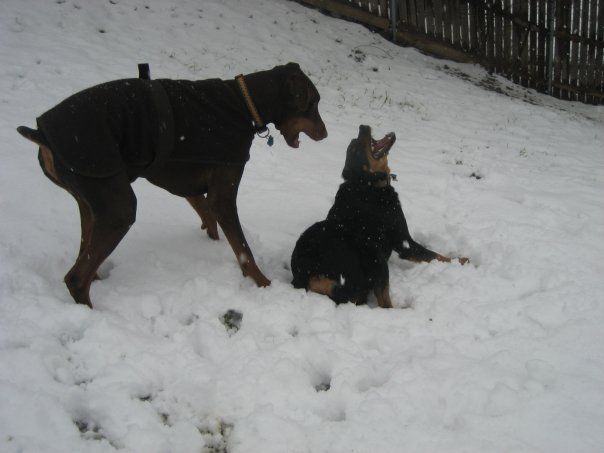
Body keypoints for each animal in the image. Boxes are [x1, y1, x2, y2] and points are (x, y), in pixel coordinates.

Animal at [18, 61, 328, 306]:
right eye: (312, 103)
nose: (325, 134)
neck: (243, 102)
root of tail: (41, 133)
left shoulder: (191, 188)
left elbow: (208, 218)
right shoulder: (223, 193)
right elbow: (243, 250)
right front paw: (264, 285)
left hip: (92, 198)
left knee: (85, 252)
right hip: (119, 208)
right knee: (75, 278)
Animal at [292, 124, 468, 308]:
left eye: (353, 143)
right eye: (355, 150)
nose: (362, 126)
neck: (369, 184)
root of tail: (310, 275)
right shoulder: (403, 241)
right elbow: (435, 255)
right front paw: (462, 261)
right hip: (375, 256)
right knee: (385, 304)